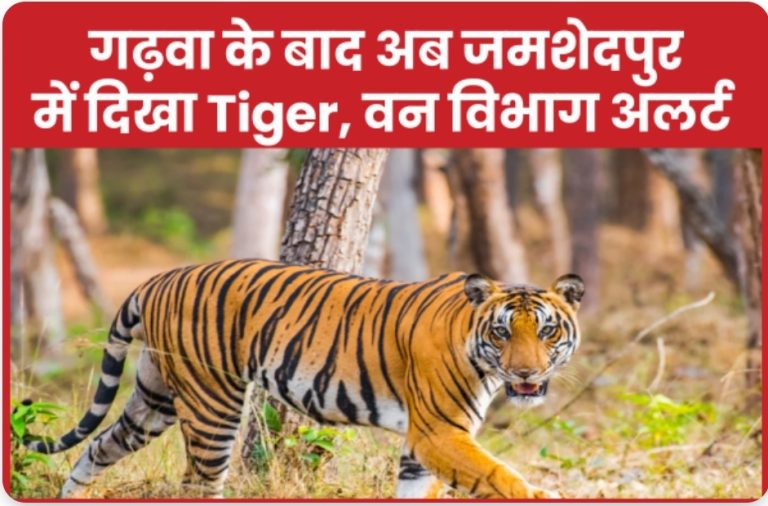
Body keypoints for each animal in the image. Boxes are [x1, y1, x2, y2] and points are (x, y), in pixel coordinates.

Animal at [24, 259, 584, 499]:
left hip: (154, 398)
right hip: (213, 406)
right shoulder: (438, 433)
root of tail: (158, 277)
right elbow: (502, 477)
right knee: (197, 481)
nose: (526, 372)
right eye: (503, 332)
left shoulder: (420, 444)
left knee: (98, 447)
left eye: (546, 330)